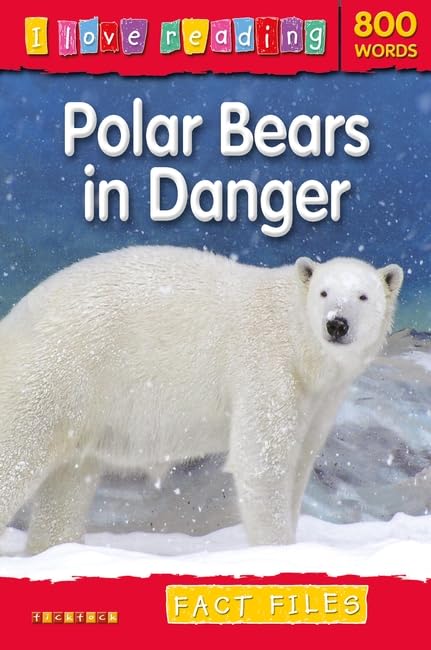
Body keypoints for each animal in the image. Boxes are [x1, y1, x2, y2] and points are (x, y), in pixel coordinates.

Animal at [0, 246, 403, 554]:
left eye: (363, 296)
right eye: (324, 292)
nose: (336, 324)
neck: (299, 344)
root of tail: (13, 318)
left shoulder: (320, 398)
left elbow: (301, 459)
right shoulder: (264, 366)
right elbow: (262, 461)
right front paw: (278, 550)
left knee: (69, 481)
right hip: (53, 374)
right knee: (17, 457)